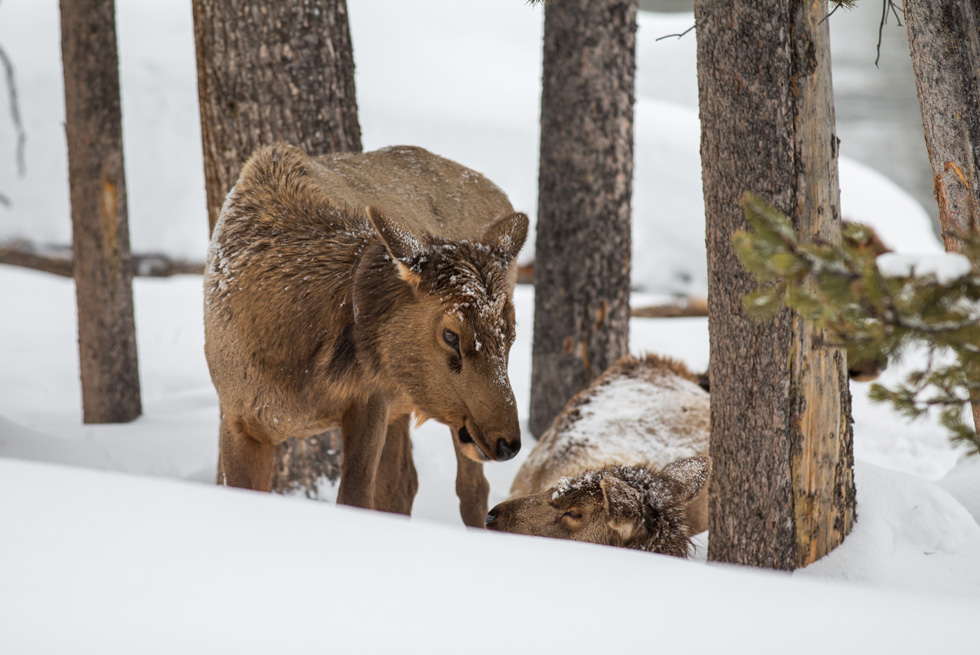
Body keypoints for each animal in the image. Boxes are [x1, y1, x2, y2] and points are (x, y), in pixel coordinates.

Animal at [204, 143, 528, 527]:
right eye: (450, 335)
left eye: (511, 334)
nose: (509, 443)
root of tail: (498, 192)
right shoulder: (237, 417)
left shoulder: (370, 398)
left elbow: (355, 500)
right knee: (404, 484)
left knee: (471, 489)